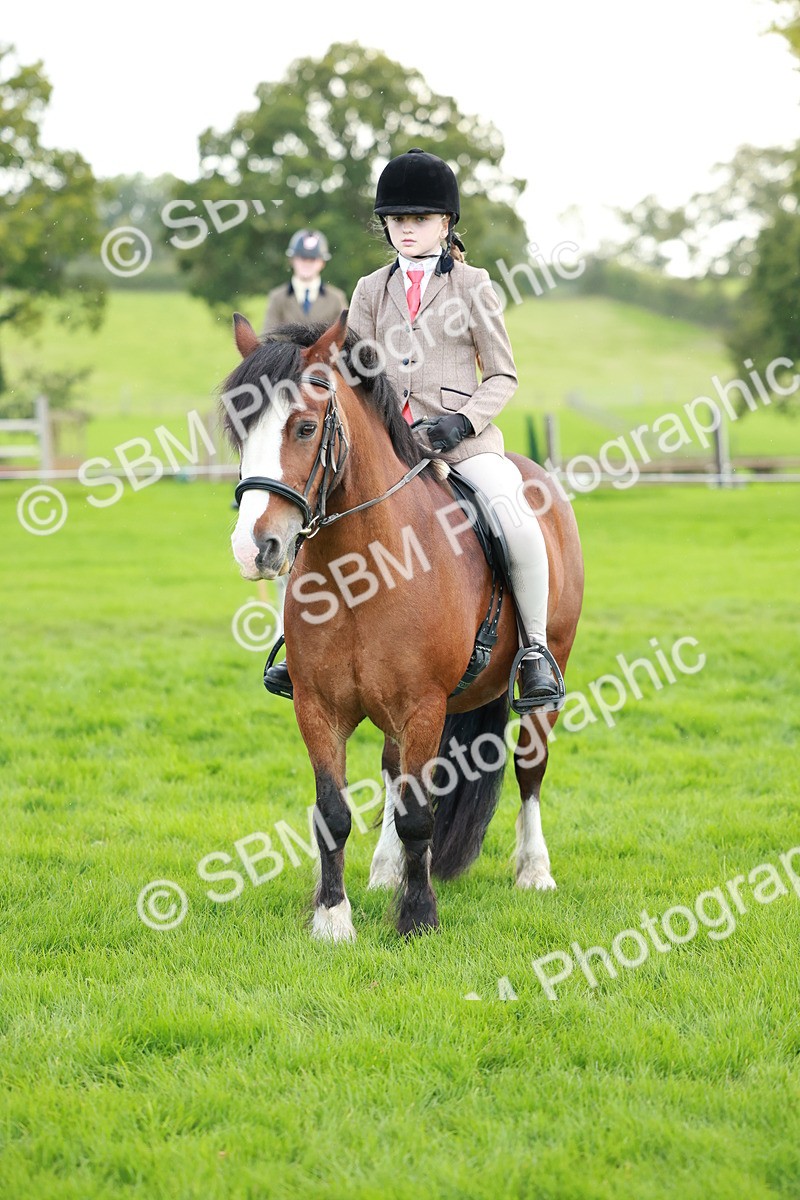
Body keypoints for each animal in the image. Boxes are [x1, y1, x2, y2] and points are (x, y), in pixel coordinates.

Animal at [222, 312, 584, 940]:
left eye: (305, 427)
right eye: (240, 433)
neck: (362, 572)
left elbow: (419, 813)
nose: (254, 549)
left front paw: (417, 918)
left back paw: (534, 871)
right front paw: (333, 920)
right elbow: (333, 812)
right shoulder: (318, 707)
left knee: (529, 768)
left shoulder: (422, 705)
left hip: (545, 670)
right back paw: (386, 870)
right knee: (393, 774)